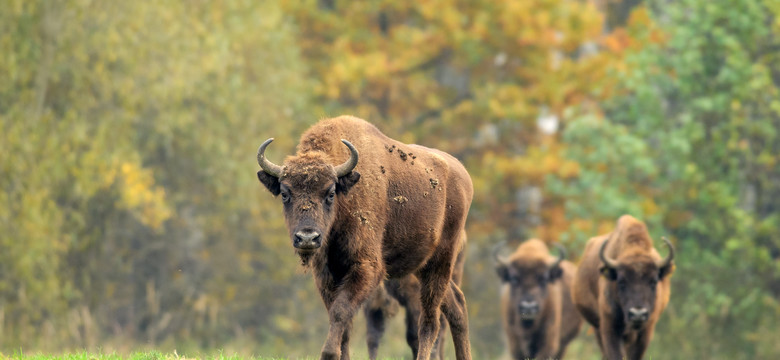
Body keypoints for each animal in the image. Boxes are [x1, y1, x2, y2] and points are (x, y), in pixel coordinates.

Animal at [258, 116, 472, 358]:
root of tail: (462, 174)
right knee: (456, 306)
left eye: (330, 193)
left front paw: (328, 354)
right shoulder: (326, 275)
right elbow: (343, 325)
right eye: (285, 194)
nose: (307, 238)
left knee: (430, 322)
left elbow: (340, 312)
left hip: (440, 262)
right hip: (422, 267)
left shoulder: (366, 268)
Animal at [568, 215, 672, 358]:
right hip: (597, 327)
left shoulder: (646, 330)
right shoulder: (610, 327)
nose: (638, 314)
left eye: (654, 281)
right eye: (621, 282)